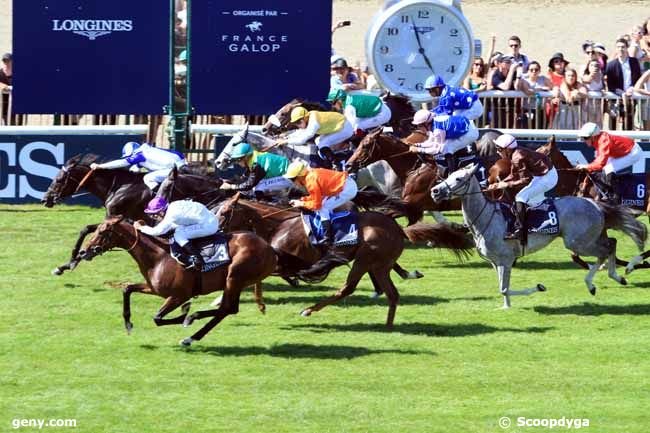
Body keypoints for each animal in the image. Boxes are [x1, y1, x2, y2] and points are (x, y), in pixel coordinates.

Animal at [80, 216, 277, 347]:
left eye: (102, 231)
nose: (83, 252)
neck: (159, 256)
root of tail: (270, 249)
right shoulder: (155, 289)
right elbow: (127, 288)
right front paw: (128, 324)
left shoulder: (178, 295)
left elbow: (157, 318)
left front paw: (184, 314)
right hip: (236, 282)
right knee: (229, 309)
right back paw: (192, 330)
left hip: (234, 278)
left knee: (226, 309)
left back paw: (190, 326)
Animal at [216, 193, 474, 326]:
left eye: (224, 212)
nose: (215, 232)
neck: (278, 225)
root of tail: (399, 230)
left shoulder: (288, 262)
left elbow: (258, 279)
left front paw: (252, 303)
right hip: (380, 265)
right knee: (392, 294)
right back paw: (388, 326)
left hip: (365, 259)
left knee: (347, 288)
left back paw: (308, 310)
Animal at [431, 164, 647, 308]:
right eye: (450, 175)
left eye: (459, 179)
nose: (435, 191)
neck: (487, 218)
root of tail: (594, 203)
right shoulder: (495, 262)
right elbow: (502, 288)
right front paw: (506, 306)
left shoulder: (506, 260)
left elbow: (504, 288)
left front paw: (538, 287)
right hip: (590, 237)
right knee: (612, 243)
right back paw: (615, 276)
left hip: (578, 242)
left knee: (606, 248)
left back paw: (597, 281)